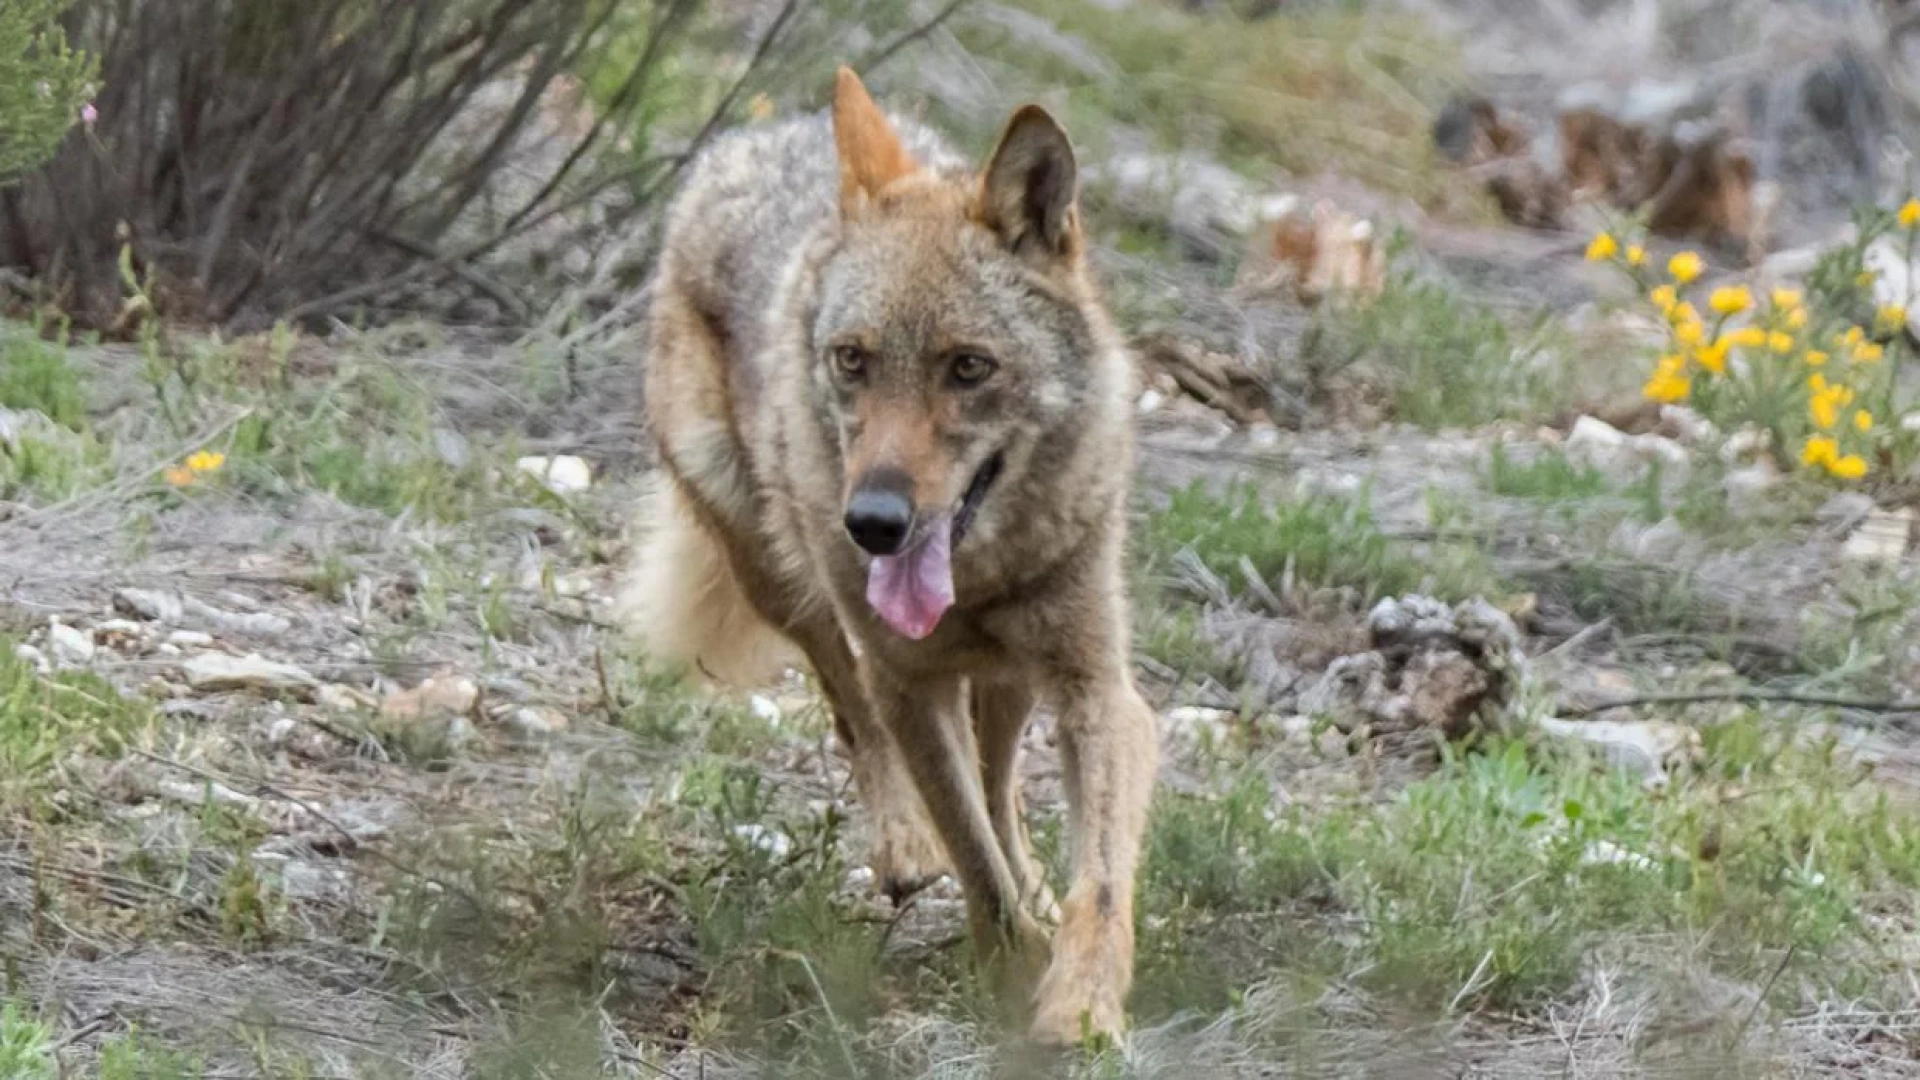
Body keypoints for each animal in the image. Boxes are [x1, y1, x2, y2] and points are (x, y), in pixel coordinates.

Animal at [620, 67, 1159, 1044]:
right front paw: (1009, 966)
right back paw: (906, 848)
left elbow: (1094, 883)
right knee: (854, 713)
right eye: (853, 360)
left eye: (969, 367)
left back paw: (1030, 880)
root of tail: (762, 136)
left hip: (1011, 681)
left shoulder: (1098, 690)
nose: (871, 521)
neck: (979, 577)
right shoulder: (905, 680)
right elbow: (972, 857)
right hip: (784, 581)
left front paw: (1080, 1008)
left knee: (999, 782)